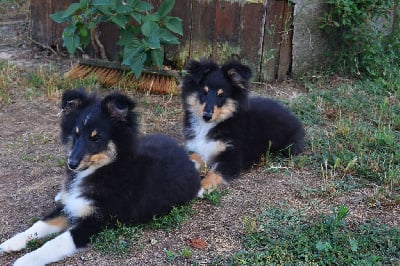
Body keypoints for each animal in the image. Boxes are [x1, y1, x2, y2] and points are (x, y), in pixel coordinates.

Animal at [0, 88, 200, 264]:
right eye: (76, 134)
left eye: (96, 138)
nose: (71, 164)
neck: (104, 169)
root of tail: (186, 156)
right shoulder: (71, 207)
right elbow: (39, 224)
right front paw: (11, 243)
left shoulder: (95, 222)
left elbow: (54, 244)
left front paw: (24, 261)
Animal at [182, 59, 306, 196]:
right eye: (204, 92)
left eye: (221, 95)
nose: (206, 116)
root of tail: (292, 115)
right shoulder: (199, 147)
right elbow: (193, 157)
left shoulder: (232, 158)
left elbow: (214, 173)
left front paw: (201, 187)